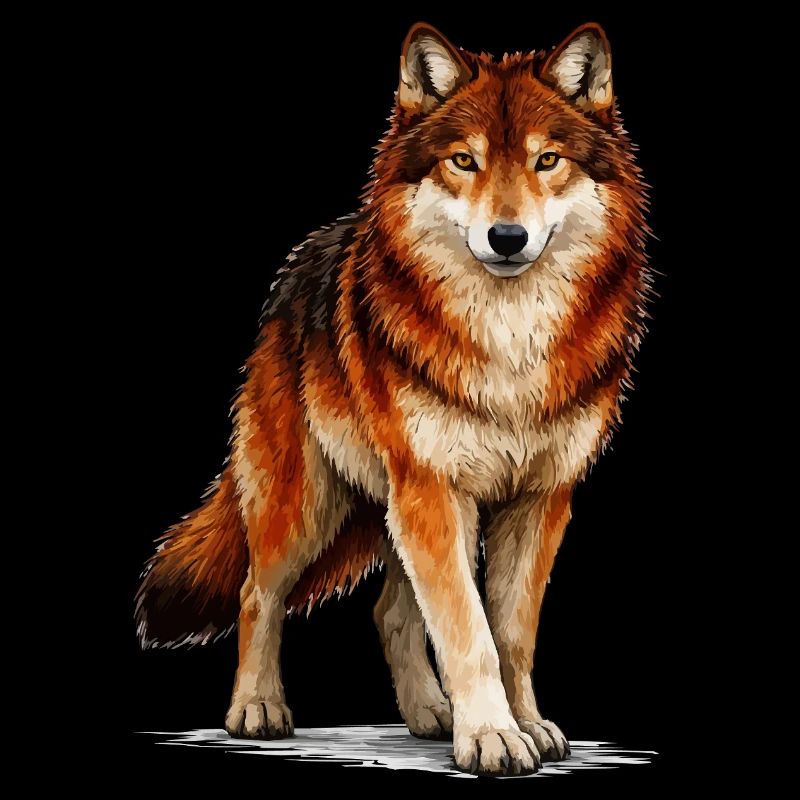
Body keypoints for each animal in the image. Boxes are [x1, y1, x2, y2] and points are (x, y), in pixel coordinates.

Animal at [136, 21, 650, 776]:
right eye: (464, 161)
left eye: (546, 160)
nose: (507, 238)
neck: (509, 342)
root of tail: (301, 265)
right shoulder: (433, 488)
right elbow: (470, 633)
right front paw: (493, 737)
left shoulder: (539, 499)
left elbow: (511, 633)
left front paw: (526, 725)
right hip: (312, 504)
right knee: (258, 592)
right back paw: (257, 709)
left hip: (401, 508)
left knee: (389, 610)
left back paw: (431, 716)